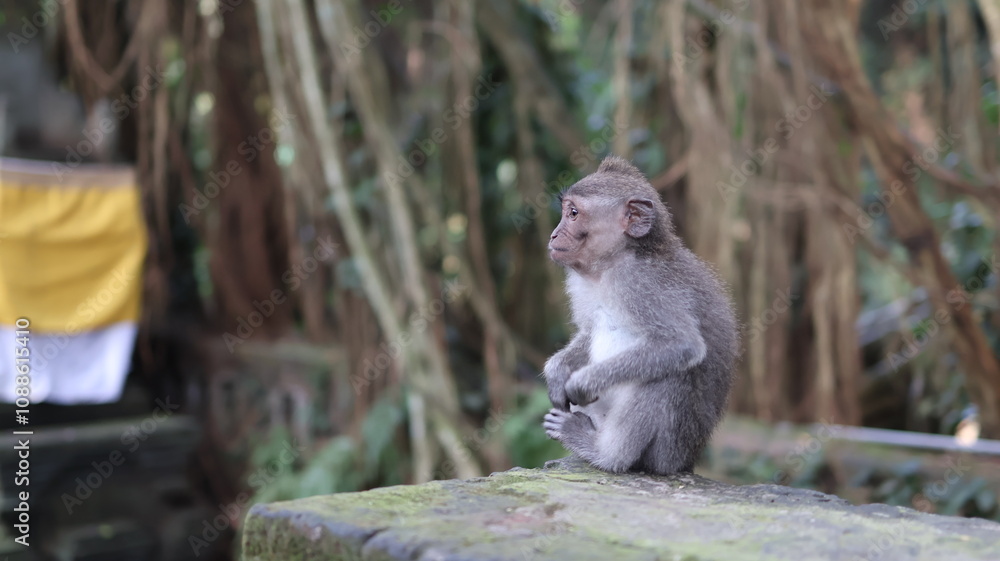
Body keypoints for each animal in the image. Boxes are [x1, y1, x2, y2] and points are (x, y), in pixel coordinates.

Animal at [542, 155, 738, 475]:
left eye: (573, 213)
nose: (554, 234)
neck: (611, 265)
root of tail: (686, 461)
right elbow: (588, 331)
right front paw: (556, 372)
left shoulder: (640, 284)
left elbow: (682, 345)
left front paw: (583, 383)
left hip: (668, 451)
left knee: (666, 373)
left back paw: (605, 453)